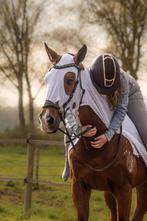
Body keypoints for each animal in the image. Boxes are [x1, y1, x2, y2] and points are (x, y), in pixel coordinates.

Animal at [40, 43, 147, 221]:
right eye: (46, 79)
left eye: (69, 80)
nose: (46, 120)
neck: (95, 150)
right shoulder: (79, 188)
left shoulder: (124, 192)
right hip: (109, 193)